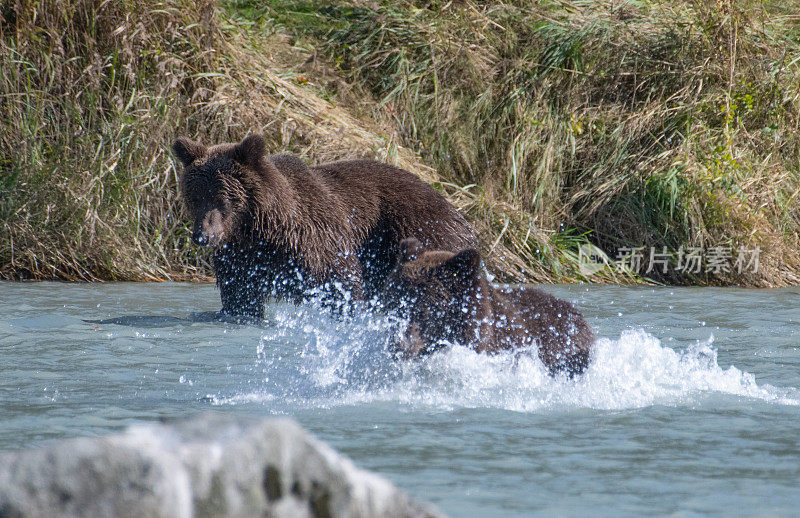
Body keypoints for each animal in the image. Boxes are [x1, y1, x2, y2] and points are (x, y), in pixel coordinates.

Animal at [173, 133, 478, 320]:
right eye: (195, 197)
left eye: (224, 198)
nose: (203, 236)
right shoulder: (240, 258)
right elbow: (240, 296)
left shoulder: (316, 242)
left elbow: (340, 285)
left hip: (423, 232)